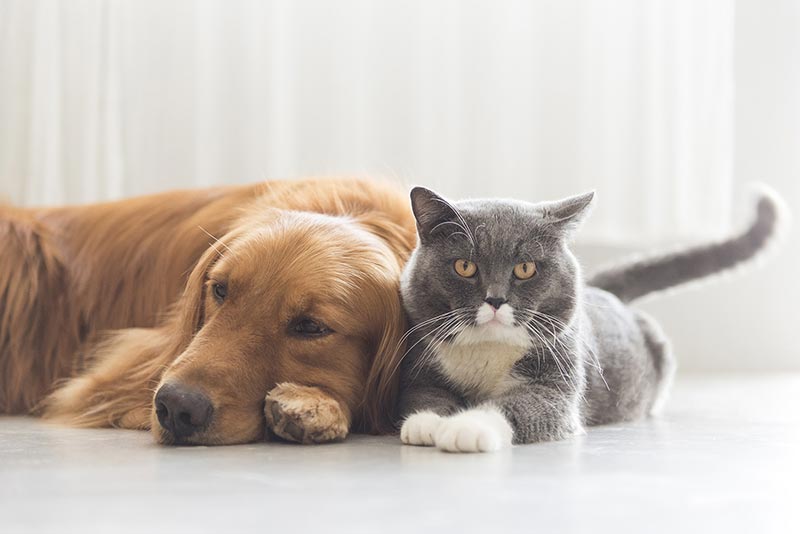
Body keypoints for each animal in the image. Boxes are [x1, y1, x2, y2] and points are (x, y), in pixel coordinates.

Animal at [396, 186, 784, 454]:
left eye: (525, 268)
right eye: (465, 266)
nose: (495, 299)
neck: (488, 348)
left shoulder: (556, 384)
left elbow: (516, 407)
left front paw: (465, 428)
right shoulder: (420, 367)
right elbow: (424, 395)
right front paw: (428, 423)